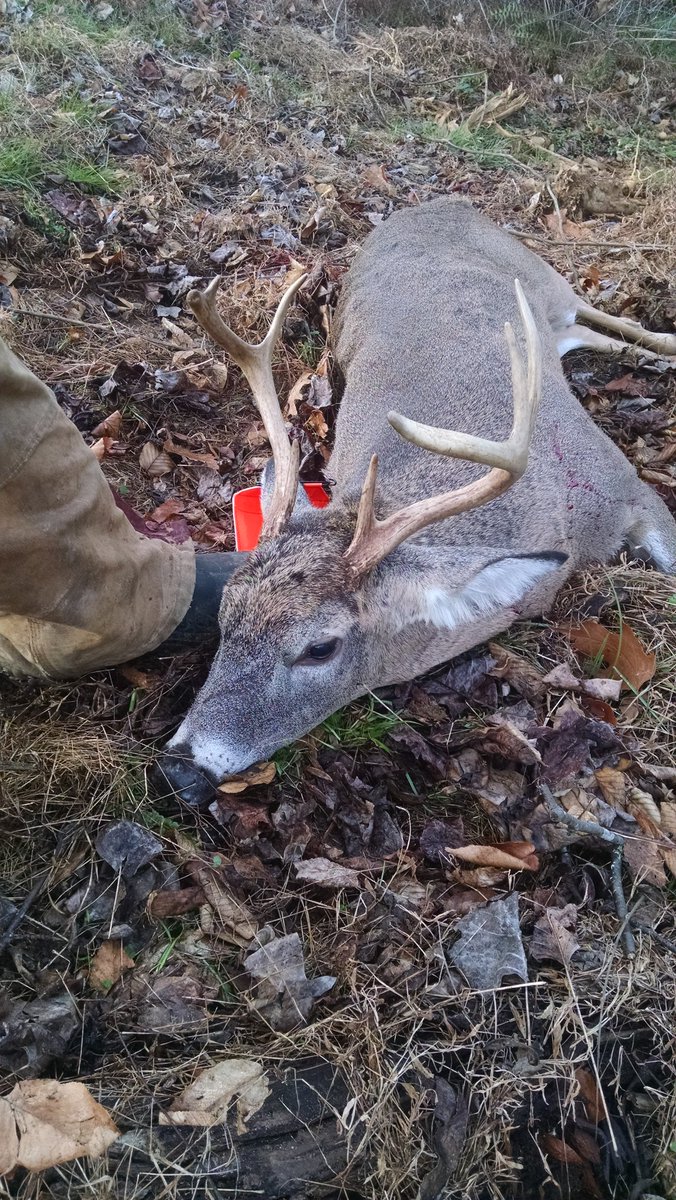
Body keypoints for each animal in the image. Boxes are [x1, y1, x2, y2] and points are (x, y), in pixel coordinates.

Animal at [160, 197, 676, 806]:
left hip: (544, 276)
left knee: (606, 318)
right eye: (224, 614)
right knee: (589, 334)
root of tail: (440, 201)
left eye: (320, 648)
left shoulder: (627, 483)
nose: (180, 768)